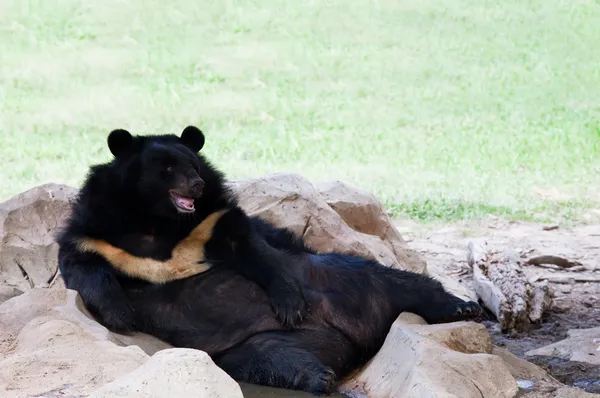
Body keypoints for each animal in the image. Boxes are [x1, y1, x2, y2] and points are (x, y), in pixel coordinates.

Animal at [57, 126, 482, 394]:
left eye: (193, 166)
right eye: (167, 169)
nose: (195, 185)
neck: (157, 221)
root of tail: (349, 337)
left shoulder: (211, 221)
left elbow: (252, 246)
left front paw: (290, 304)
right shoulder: (100, 232)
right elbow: (84, 267)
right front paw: (121, 315)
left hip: (339, 277)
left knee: (399, 283)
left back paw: (463, 307)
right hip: (253, 343)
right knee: (276, 361)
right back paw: (319, 378)